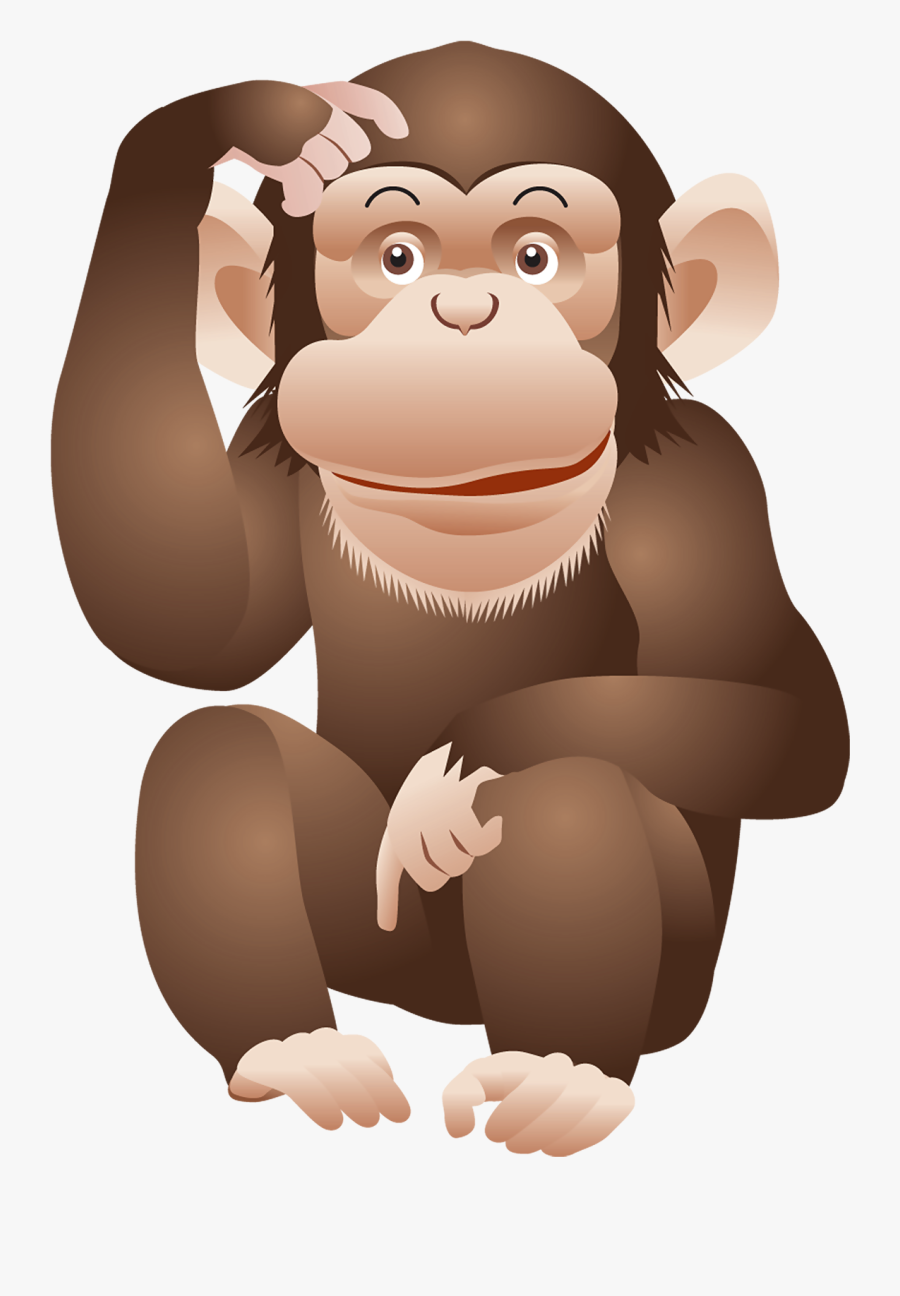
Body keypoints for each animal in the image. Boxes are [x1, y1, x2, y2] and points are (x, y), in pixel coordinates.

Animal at [52, 42, 848, 1156]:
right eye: (396, 258)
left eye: (536, 258)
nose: (463, 312)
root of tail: (439, 1011)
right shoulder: (262, 458)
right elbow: (186, 617)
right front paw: (252, 121)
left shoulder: (712, 479)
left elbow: (785, 711)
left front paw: (458, 760)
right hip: (374, 938)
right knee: (221, 744)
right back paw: (297, 1052)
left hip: (679, 983)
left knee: (566, 779)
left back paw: (560, 1074)